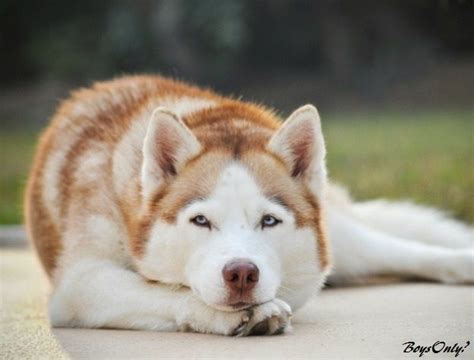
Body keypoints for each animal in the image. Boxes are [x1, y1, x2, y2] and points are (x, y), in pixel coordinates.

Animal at [25, 75, 474, 334]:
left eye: (270, 221)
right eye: (200, 221)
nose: (241, 273)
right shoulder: (80, 284)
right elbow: (169, 291)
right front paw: (235, 315)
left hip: (342, 242)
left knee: (401, 248)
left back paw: (461, 262)